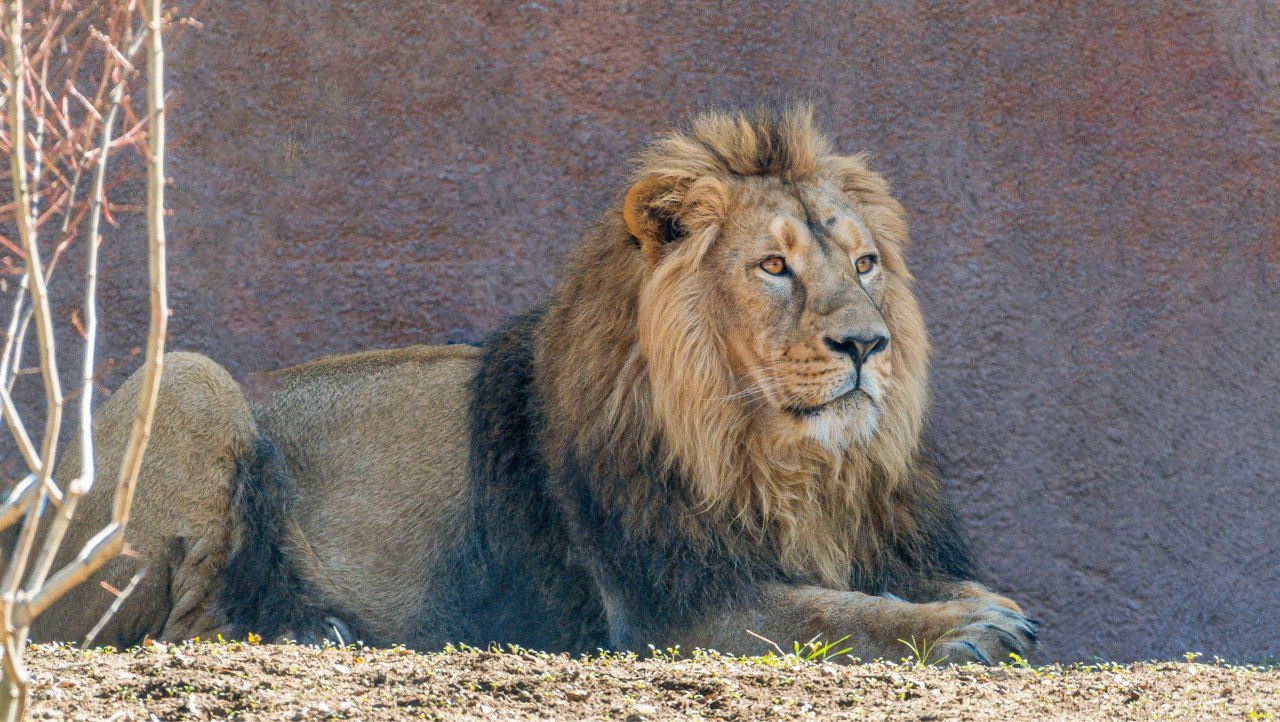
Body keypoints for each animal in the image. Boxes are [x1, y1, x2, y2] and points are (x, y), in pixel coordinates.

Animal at [21, 107, 1037, 664]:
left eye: (865, 263)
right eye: (773, 267)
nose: (867, 344)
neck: (779, 463)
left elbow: (892, 585)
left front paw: (986, 606)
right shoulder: (673, 607)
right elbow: (836, 613)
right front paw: (965, 631)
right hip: (188, 382)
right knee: (178, 622)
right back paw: (311, 631)